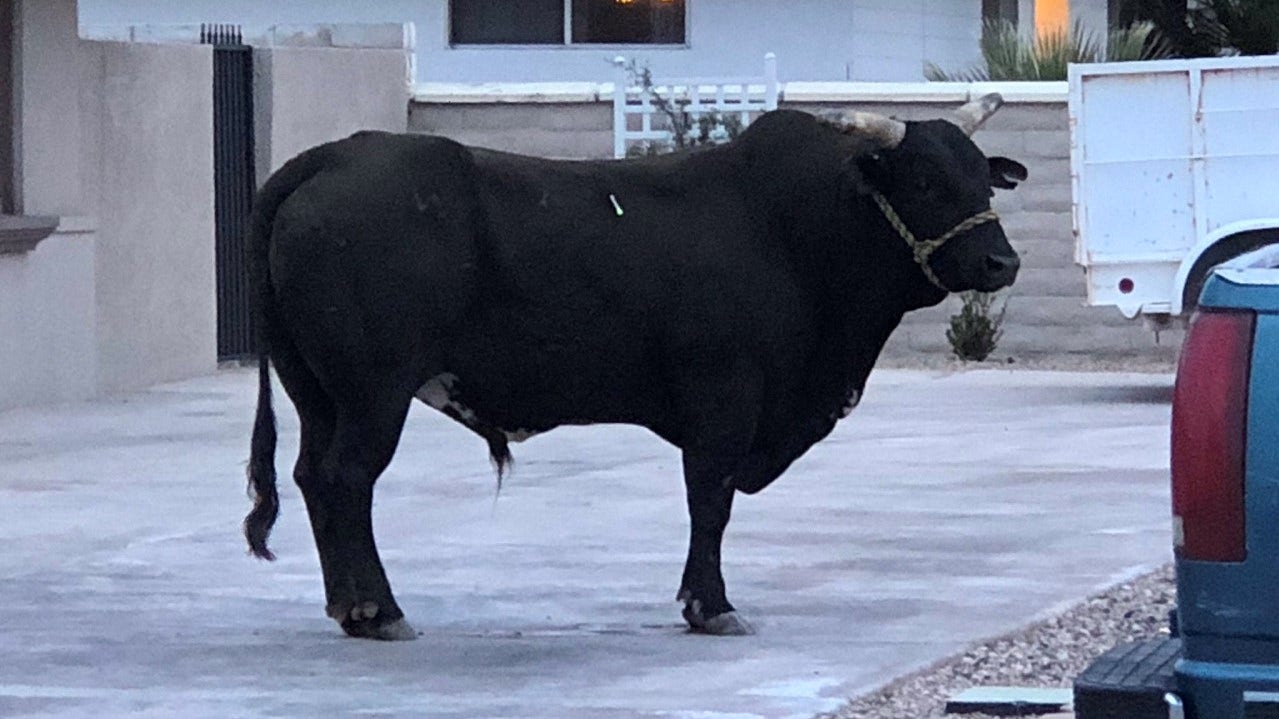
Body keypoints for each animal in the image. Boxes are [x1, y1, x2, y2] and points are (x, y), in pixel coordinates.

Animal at [242, 94, 1027, 641]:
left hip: (315, 389)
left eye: (982, 183)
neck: (790, 229)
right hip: (373, 391)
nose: (1001, 261)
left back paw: (348, 606)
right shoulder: (724, 396)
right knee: (347, 480)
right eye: (925, 182)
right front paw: (711, 606)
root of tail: (330, 159)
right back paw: (379, 610)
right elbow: (709, 500)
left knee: (312, 477)